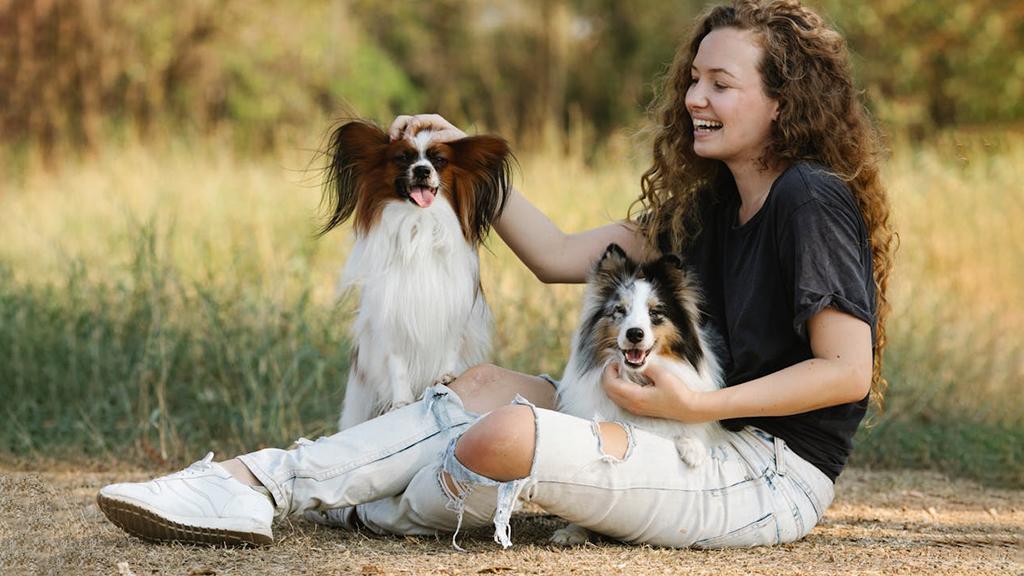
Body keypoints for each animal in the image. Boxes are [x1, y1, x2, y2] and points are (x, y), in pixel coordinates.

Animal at [319, 119, 512, 426]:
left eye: (439, 160)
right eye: (403, 158)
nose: (422, 170)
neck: (419, 223)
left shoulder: (454, 312)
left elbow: (449, 349)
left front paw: (446, 376)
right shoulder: (390, 316)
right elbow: (397, 364)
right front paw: (401, 401)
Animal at [552, 241, 729, 541]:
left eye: (655, 313)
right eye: (619, 310)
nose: (635, 333)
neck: (635, 377)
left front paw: (693, 447)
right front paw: (572, 530)